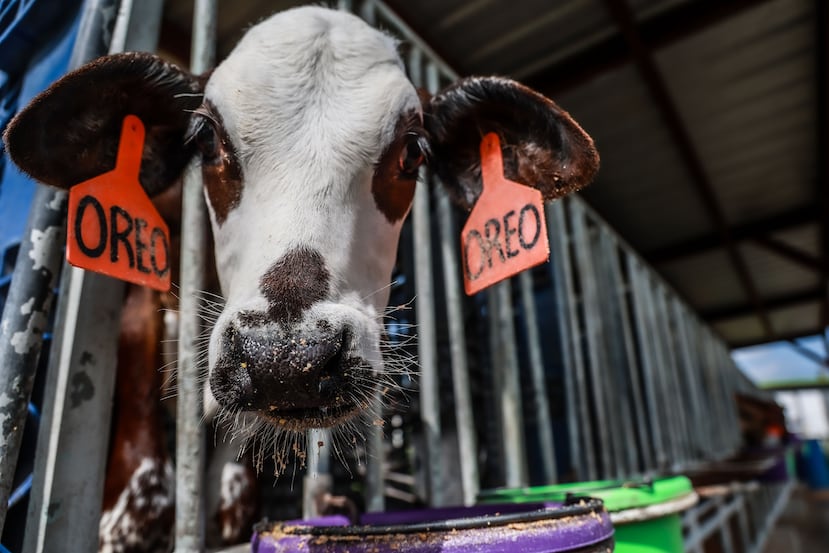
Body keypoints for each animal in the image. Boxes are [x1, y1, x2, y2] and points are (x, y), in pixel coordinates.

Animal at [3, 6, 598, 550]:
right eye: (208, 139)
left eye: (412, 151)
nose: (286, 357)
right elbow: (135, 362)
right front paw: (132, 510)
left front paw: (227, 493)